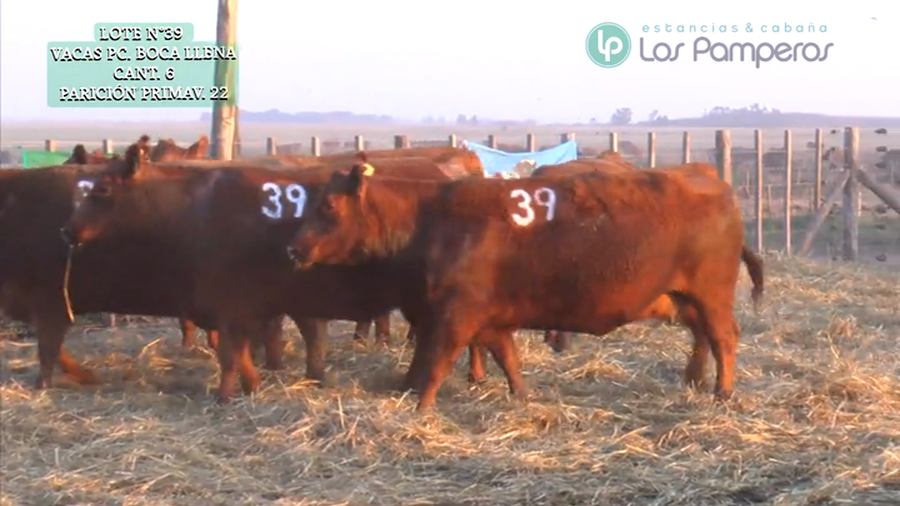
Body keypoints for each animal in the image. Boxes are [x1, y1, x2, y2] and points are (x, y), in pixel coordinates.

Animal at [62, 142, 495, 403]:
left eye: (101, 189)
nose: (67, 229)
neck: (197, 208)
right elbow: (251, 347)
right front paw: (256, 383)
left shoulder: (234, 302)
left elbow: (235, 351)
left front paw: (229, 393)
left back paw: (470, 376)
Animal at [287, 162, 763, 411]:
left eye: (328, 207)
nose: (293, 248)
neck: (429, 219)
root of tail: (713, 181)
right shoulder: (489, 321)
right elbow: (507, 359)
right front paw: (521, 397)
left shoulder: (452, 319)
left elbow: (434, 365)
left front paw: (421, 408)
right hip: (684, 299)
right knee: (703, 338)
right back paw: (696, 380)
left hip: (710, 297)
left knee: (723, 338)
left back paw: (723, 391)